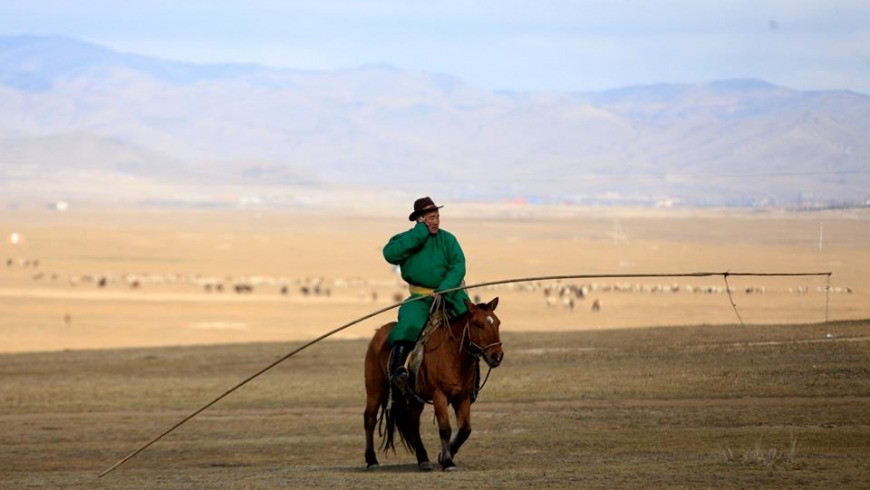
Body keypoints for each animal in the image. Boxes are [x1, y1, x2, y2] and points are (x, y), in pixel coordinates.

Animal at [364, 294, 508, 470]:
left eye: (498, 323)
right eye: (478, 325)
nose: (497, 356)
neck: (452, 354)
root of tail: (379, 333)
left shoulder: (463, 397)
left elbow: (465, 429)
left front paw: (444, 455)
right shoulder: (439, 395)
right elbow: (445, 429)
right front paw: (447, 461)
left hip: (414, 397)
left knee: (413, 422)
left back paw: (423, 458)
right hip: (375, 390)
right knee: (370, 419)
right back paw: (372, 460)